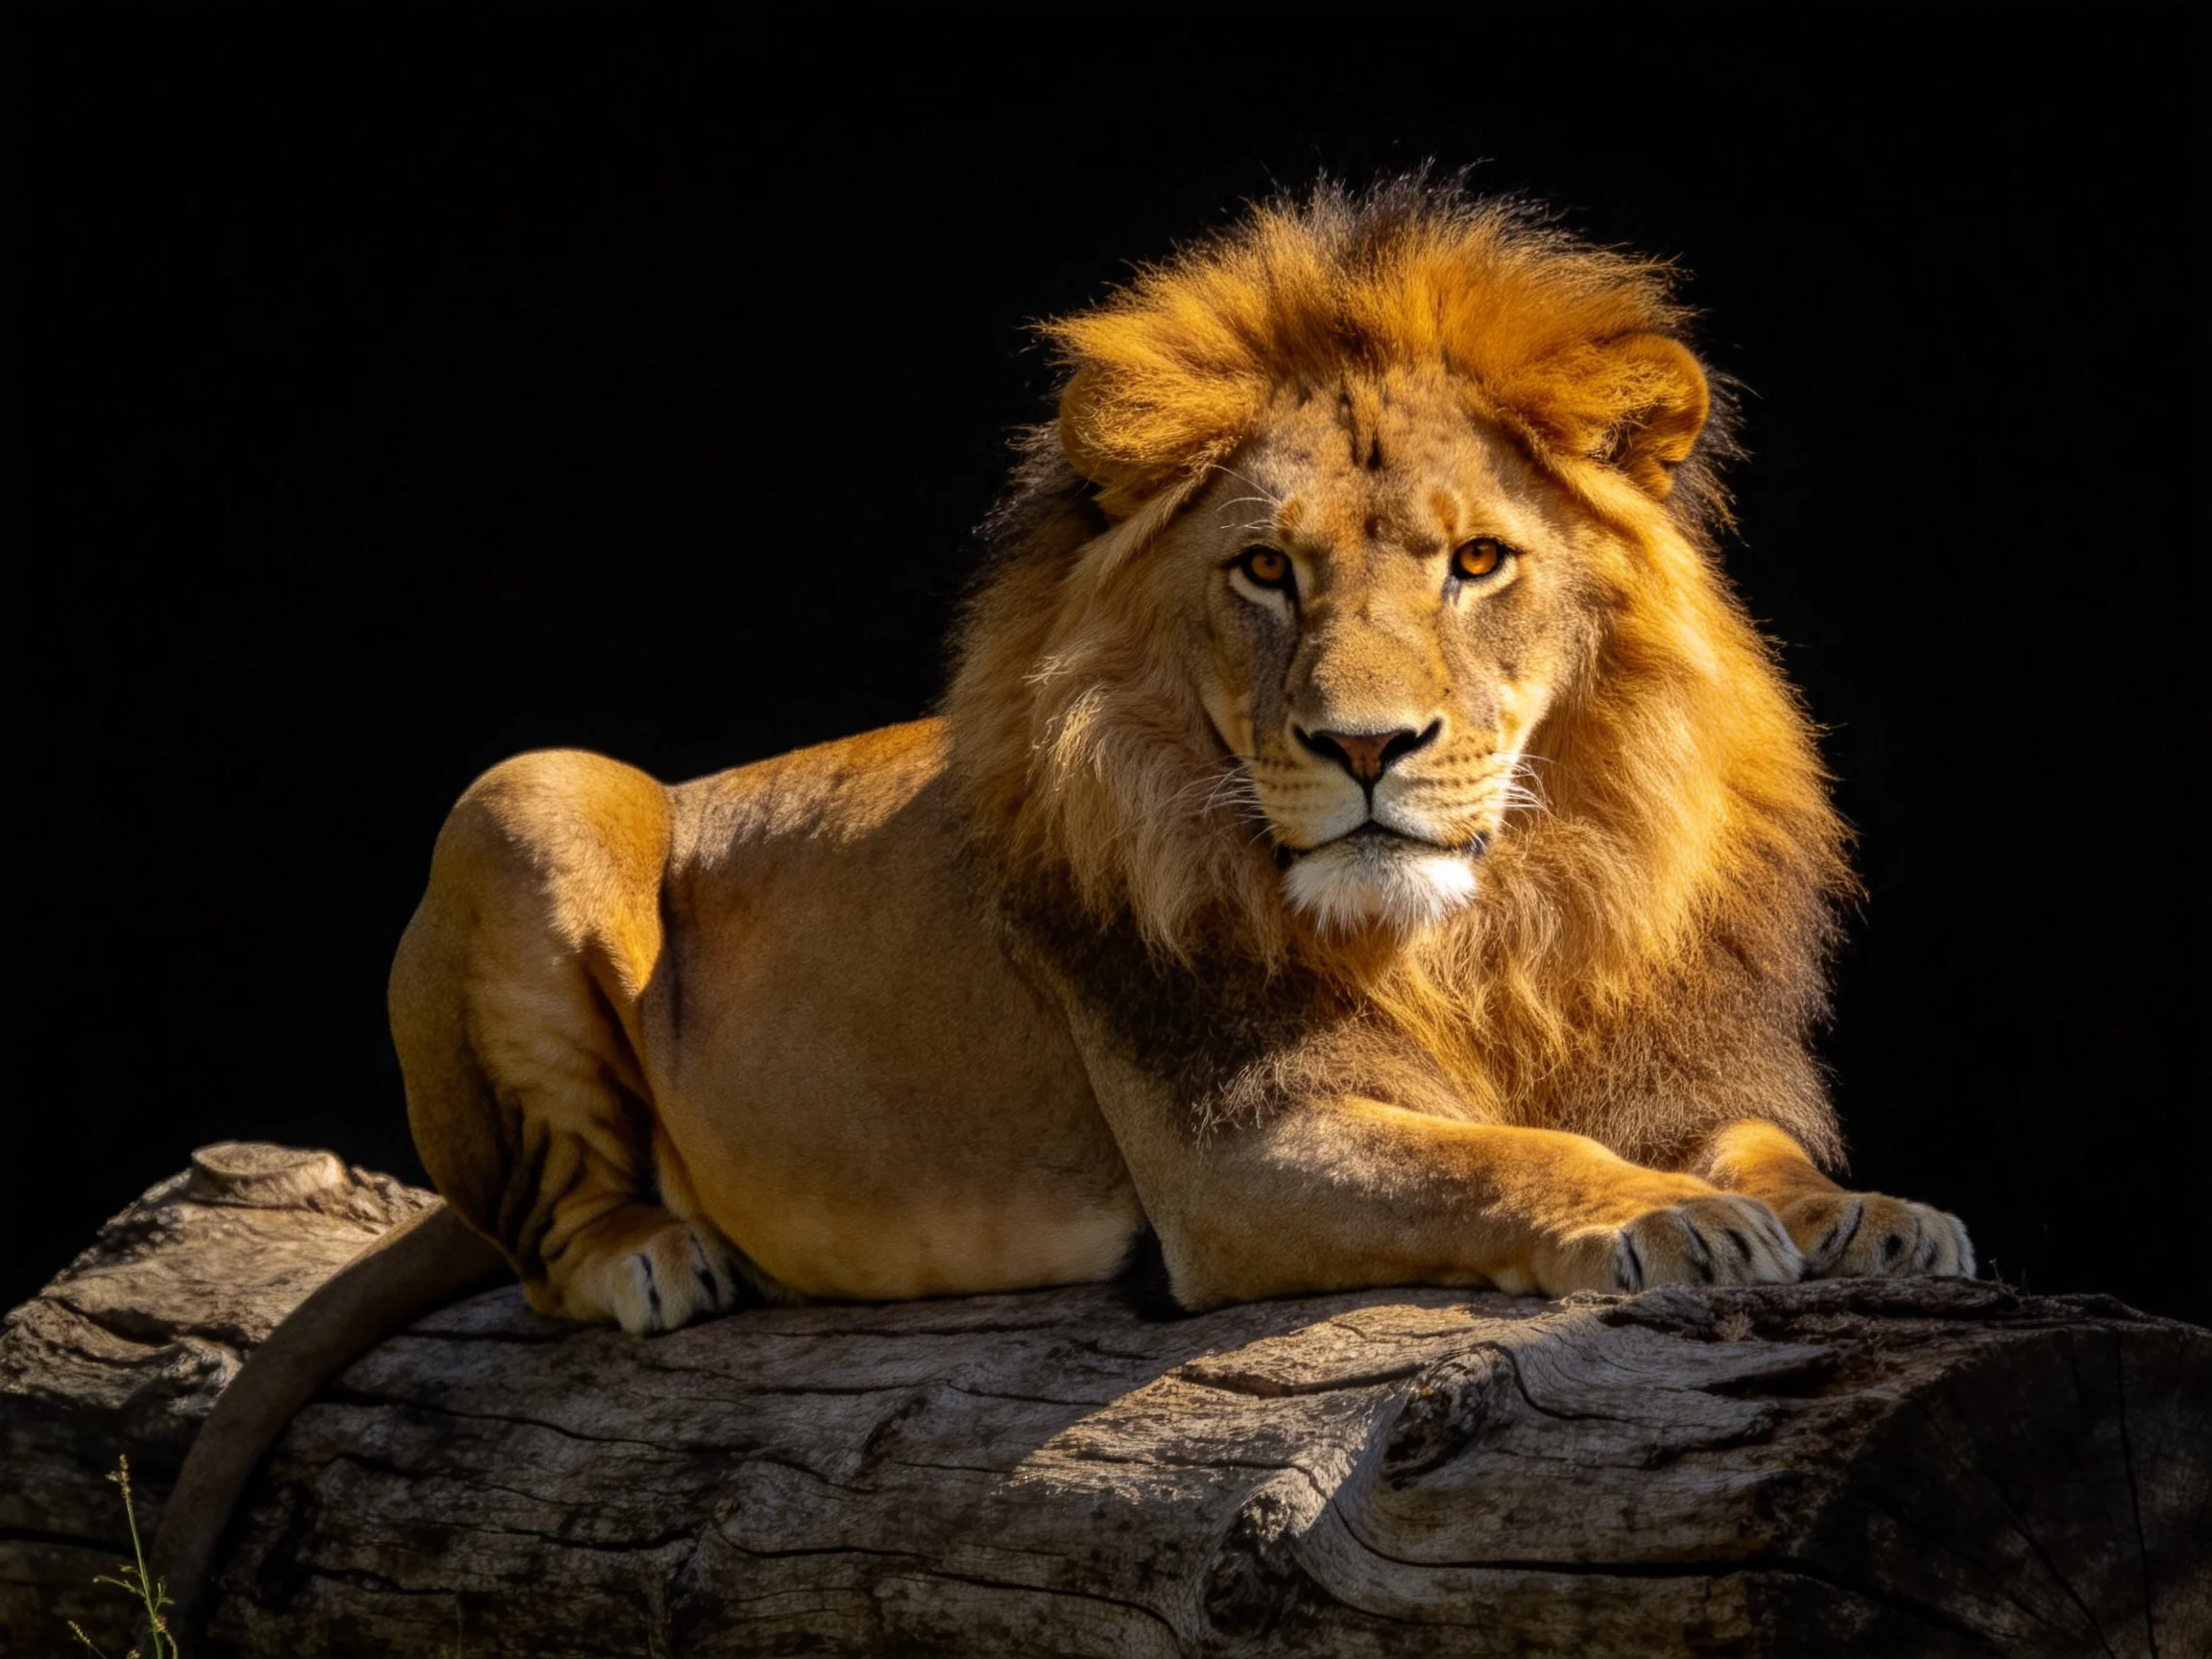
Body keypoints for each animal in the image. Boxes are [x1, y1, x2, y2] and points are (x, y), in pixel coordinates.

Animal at [155, 176, 1970, 1614]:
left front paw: (1872, 1216)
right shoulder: (1240, 1154)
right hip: (533, 790)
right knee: (536, 1230)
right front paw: (1658, 1219)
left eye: (1476, 563)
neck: (1493, 924)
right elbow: (1503, 1156)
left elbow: (1763, 1150)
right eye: (1266, 569)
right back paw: (648, 1256)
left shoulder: (1665, 1062)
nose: (1363, 744)